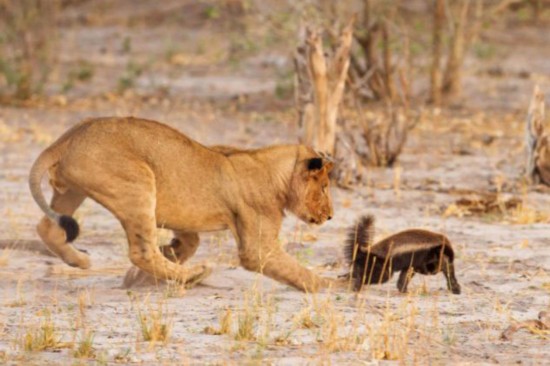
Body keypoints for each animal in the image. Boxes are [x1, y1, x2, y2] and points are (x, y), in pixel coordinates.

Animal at [29, 116, 336, 292]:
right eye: (324, 187)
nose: (331, 216)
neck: (276, 174)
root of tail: (67, 137)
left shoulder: (185, 220)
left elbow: (188, 244)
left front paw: (143, 274)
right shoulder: (258, 247)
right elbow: (294, 269)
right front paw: (329, 284)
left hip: (73, 190)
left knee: (47, 228)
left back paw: (80, 260)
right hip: (138, 183)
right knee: (141, 252)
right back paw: (194, 275)